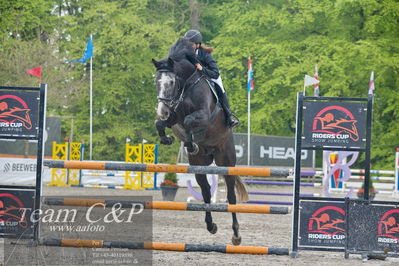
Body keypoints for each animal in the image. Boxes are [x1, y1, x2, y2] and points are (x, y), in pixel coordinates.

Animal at [152, 38, 248, 245]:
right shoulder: (174, 117)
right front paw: (167, 138)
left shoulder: (204, 116)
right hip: (199, 166)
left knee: (231, 196)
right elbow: (161, 124)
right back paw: (211, 226)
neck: (187, 84)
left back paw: (236, 235)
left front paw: (191, 143)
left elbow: (190, 121)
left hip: (226, 162)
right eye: (157, 82)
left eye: (171, 82)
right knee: (205, 192)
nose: (162, 110)